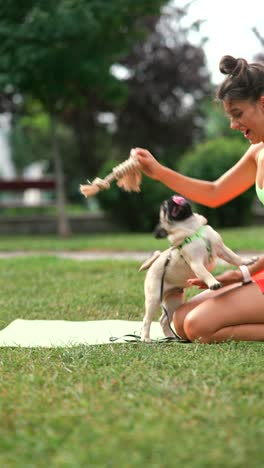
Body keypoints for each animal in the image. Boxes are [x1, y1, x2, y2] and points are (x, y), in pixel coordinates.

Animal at [139, 196, 256, 342]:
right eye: (165, 207)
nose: (172, 198)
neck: (192, 228)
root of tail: (155, 261)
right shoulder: (197, 263)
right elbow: (206, 274)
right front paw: (213, 283)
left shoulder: (222, 249)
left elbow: (234, 257)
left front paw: (247, 261)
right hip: (154, 298)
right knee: (147, 319)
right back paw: (145, 338)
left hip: (173, 300)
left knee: (163, 320)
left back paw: (171, 337)